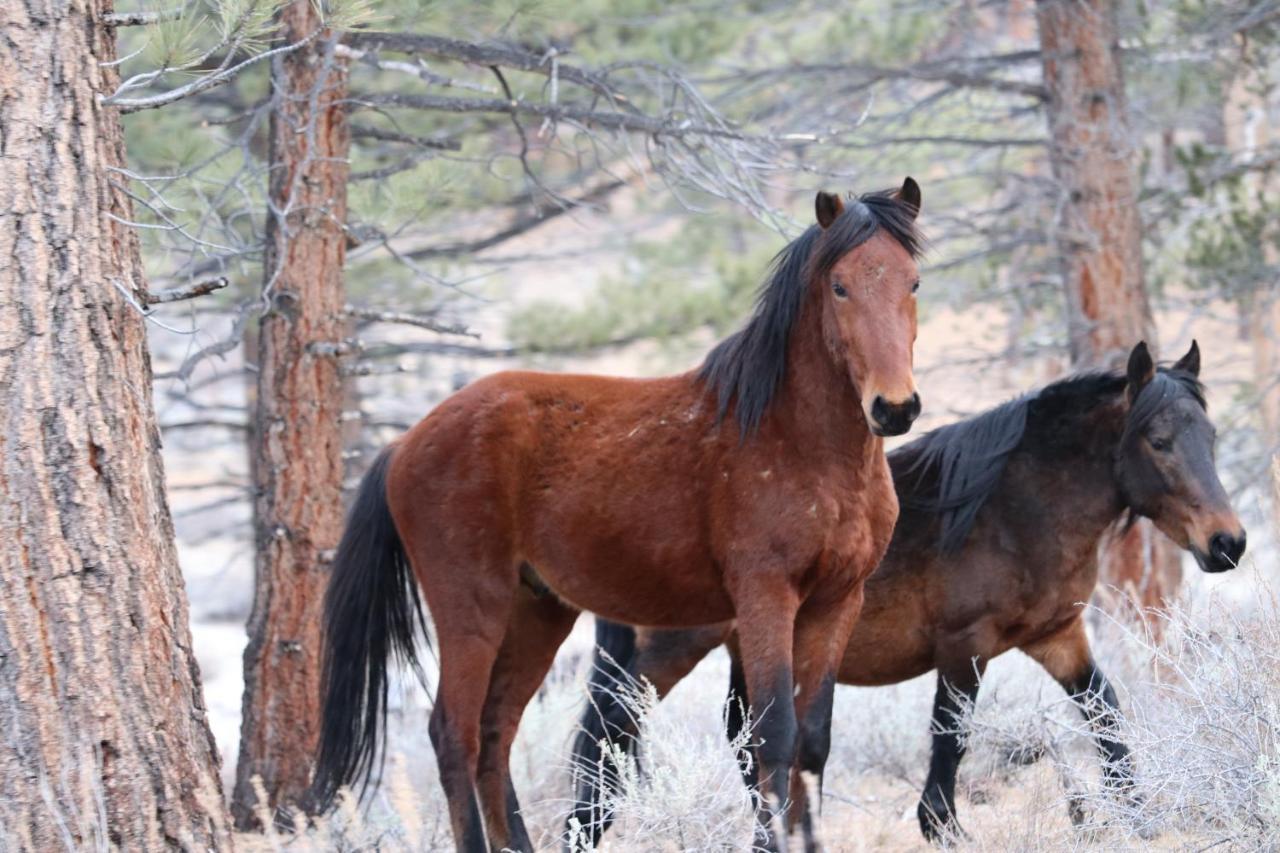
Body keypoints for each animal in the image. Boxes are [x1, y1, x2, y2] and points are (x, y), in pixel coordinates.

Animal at [309, 178, 931, 845]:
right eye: (839, 286)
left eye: (913, 282)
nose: (894, 407)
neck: (793, 438)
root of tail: (406, 443)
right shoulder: (766, 599)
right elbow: (774, 736)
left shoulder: (837, 602)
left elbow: (812, 743)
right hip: (470, 606)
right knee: (455, 734)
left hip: (537, 612)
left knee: (496, 734)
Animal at [573, 340, 1249, 845]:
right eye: (1158, 441)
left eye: (1212, 437)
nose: (1228, 543)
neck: (1010, 510)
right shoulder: (964, 646)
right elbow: (950, 739)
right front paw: (943, 829)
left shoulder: (1057, 636)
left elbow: (1105, 713)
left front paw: (1139, 814)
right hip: (670, 651)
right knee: (604, 739)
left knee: (739, 741)